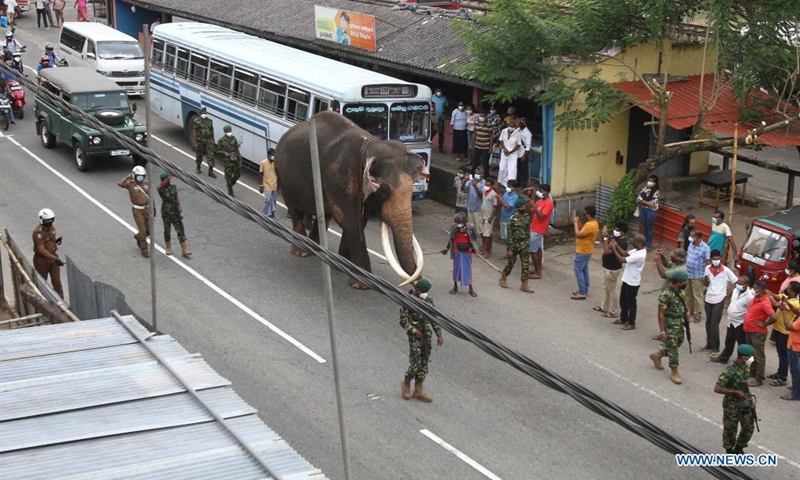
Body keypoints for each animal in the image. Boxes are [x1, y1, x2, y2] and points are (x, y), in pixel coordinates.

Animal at [274, 110, 424, 288]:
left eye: (412, 189)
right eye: (385, 190)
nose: (418, 291)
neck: (372, 145)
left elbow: (360, 219)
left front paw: (345, 264)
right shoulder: (340, 177)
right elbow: (350, 220)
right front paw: (360, 284)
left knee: (324, 215)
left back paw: (317, 249)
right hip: (281, 174)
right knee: (295, 210)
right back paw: (302, 251)